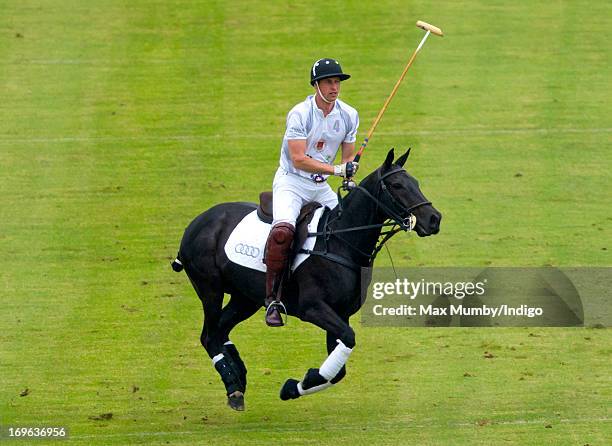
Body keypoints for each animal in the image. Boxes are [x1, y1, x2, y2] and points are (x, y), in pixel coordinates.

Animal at [171, 148, 440, 410]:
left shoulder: (341, 313)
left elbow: (339, 369)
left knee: (220, 330)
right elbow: (349, 339)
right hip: (210, 288)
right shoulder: (314, 308)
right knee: (209, 336)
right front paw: (296, 384)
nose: (434, 219)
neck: (342, 242)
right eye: (397, 185)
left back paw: (238, 375)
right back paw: (233, 385)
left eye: (415, 182)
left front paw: (293, 387)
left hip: (245, 297)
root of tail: (196, 222)